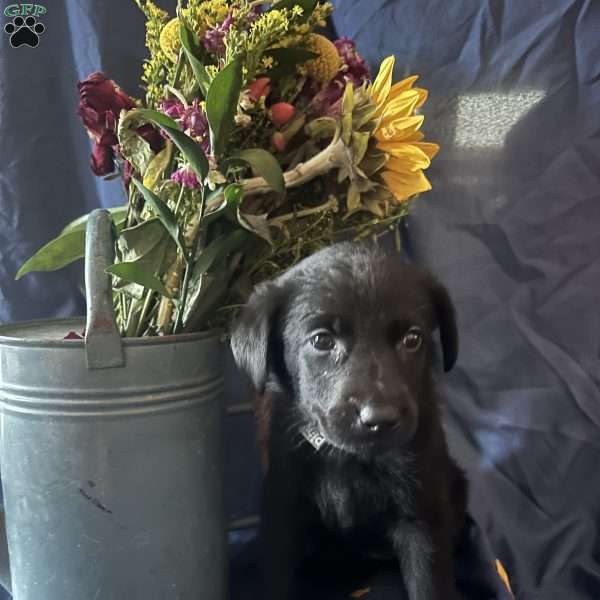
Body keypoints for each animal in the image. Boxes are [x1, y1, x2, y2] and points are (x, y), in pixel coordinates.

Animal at [231, 241, 468, 596]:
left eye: (412, 339)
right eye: (322, 340)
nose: (380, 418)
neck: (347, 460)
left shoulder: (422, 515)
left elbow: (429, 585)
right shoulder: (282, 514)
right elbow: (278, 581)